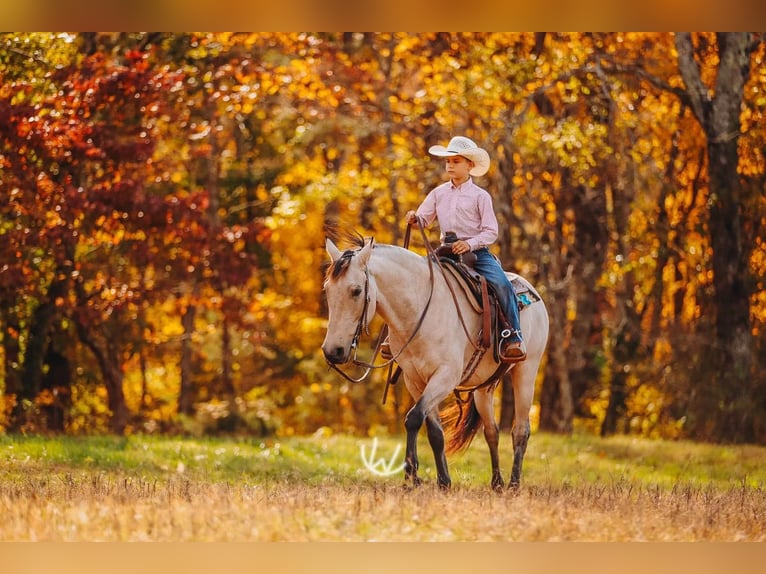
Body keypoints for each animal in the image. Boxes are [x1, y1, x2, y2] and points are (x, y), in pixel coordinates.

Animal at [321, 233, 549, 490]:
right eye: (327, 289)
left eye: (356, 291)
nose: (333, 351)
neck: (419, 310)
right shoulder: (415, 380)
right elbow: (434, 432)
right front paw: (443, 481)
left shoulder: (445, 377)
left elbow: (413, 418)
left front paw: (411, 476)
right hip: (485, 387)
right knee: (491, 431)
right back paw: (497, 483)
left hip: (526, 371)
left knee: (521, 430)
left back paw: (513, 484)